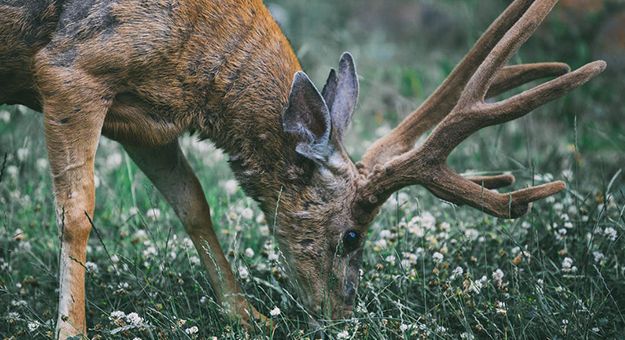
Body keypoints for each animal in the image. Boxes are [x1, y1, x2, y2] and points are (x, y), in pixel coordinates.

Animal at [0, 0, 604, 338]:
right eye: (352, 235)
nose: (342, 316)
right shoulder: (70, 70)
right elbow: (77, 213)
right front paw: (71, 331)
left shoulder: (144, 119)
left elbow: (193, 201)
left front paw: (247, 318)